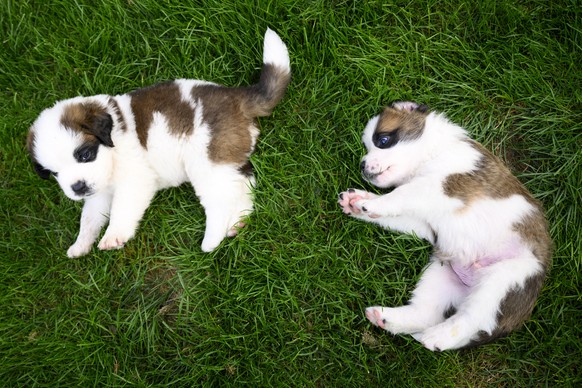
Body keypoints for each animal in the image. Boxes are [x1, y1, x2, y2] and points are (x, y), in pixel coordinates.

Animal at [27, 28, 292, 258]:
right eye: (53, 173)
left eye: (84, 154)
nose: (77, 187)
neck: (112, 147)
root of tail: (236, 96)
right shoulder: (99, 191)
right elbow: (89, 218)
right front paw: (81, 244)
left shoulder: (134, 181)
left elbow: (121, 210)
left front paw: (113, 236)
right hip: (227, 158)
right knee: (243, 184)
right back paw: (238, 222)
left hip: (206, 161)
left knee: (220, 200)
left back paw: (212, 238)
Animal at [338, 101, 552, 350]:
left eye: (383, 140)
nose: (362, 165)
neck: (433, 154)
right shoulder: (425, 224)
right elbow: (397, 209)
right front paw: (358, 202)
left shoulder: (441, 186)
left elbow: (402, 194)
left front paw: (370, 203)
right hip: (441, 276)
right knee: (426, 313)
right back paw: (386, 317)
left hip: (504, 279)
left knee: (474, 318)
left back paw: (435, 337)